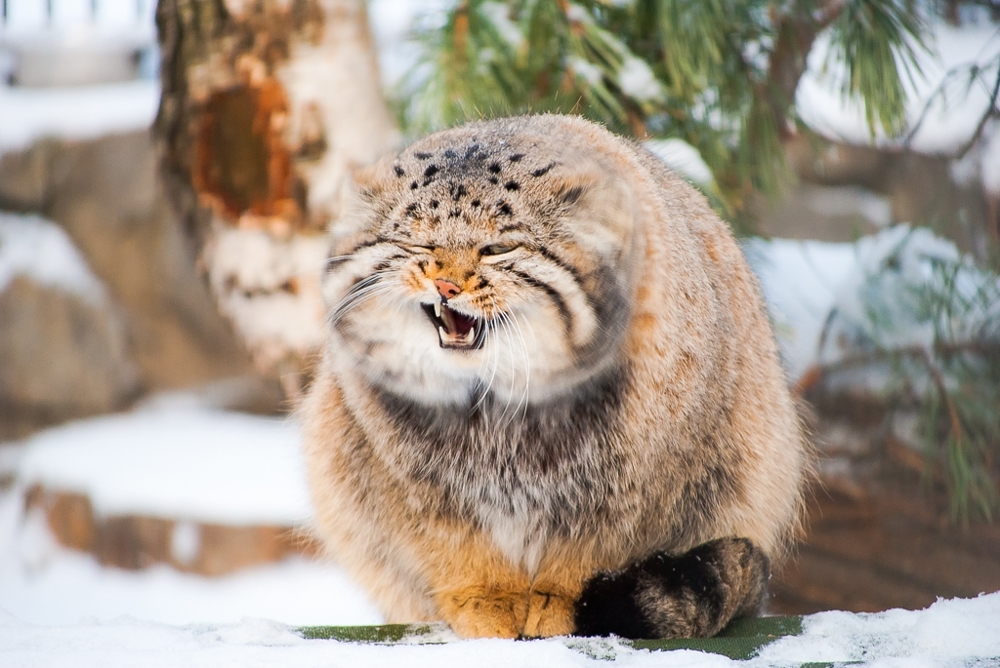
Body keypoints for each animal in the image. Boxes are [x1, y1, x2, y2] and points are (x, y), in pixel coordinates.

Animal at [300, 116, 808, 640]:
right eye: (420, 245)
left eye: (497, 248)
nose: (446, 286)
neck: (496, 407)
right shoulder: (410, 478)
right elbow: (454, 544)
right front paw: (486, 599)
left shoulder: (628, 484)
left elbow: (586, 552)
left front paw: (556, 600)